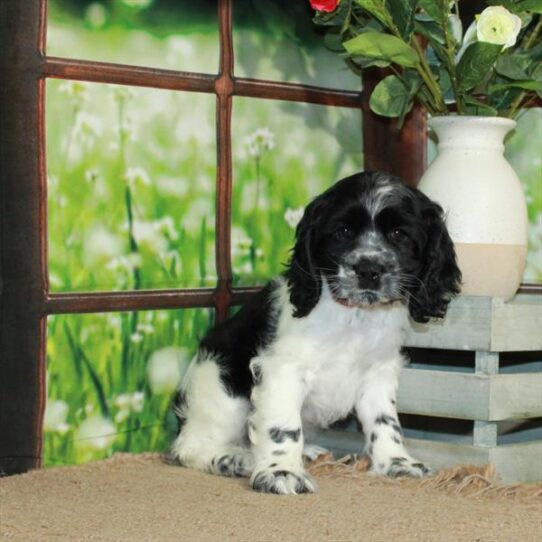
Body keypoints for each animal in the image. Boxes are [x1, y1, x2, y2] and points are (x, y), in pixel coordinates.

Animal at [172, 172, 462, 496]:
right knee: (189, 445)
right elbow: (283, 426)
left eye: (399, 234)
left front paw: (397, 462)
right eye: (343, 232)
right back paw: (233, 458)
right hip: (224, 391)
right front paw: (281, 471)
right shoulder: (283, 370)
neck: (355, 316)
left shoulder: (378, 373)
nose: (368, 269)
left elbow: (385, 421)